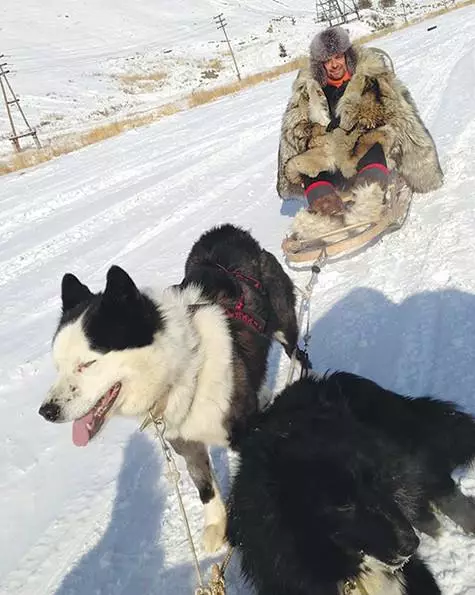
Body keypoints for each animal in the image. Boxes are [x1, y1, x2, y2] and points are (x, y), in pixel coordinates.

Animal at [38, 225, 304, 556]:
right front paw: (216, 526)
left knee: (300, 354)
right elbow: (205, 486)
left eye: (87, 363)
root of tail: (227, 232)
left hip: (284, 327)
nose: (46, 411)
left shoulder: (243, 431)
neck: (187, 367)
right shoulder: (185, 442)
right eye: (58, 366)